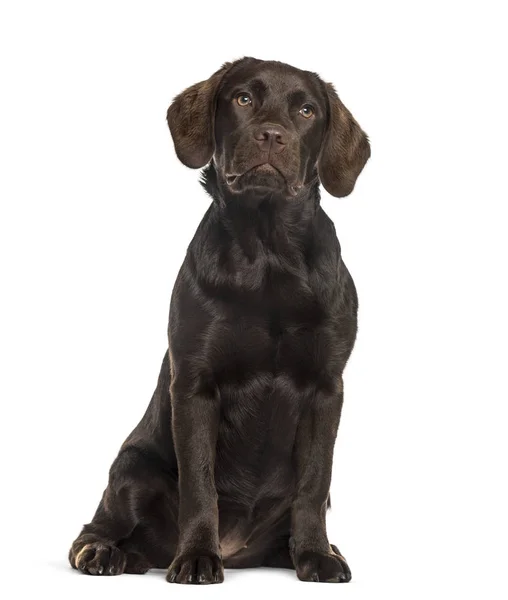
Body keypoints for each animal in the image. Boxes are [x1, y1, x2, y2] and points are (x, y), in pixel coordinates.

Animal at [68, 55, 370, 580]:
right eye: (243, 99)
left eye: (307, 111)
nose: (272, 135)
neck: (268, 255)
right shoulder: (195, 383)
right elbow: (200, 484)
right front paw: (195, 557)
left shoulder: (326, 387)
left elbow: (313, 484)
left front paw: (316, 556)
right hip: (133, 470)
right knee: (101, 526)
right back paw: (104, 552)